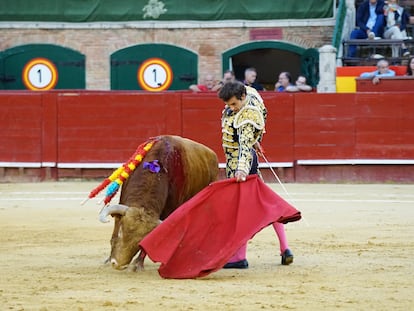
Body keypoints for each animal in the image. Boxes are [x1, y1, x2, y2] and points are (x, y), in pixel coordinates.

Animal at [97, 135, 220, 272]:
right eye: (121, 232)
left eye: (139, 243)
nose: (118, 265)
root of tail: (212, 154)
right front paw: (108, 259)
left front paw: (138, 264)